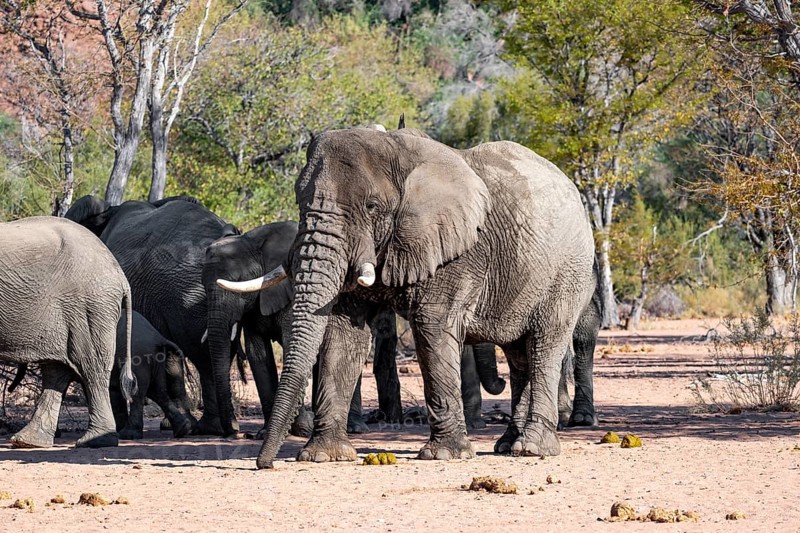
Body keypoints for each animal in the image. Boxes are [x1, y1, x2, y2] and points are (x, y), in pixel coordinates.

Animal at [0, 216, 135, 448]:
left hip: (89, 306)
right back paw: (28, 441)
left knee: (91, 367)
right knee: (57, 370)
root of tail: (120, 273)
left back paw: (96, 441)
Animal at [110, 310, 195, 440]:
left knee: (138, 393)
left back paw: (128, 435)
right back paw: (183, 428)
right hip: (155, 359)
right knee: (158, 391)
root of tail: (159, 339)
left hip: (138, 358)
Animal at [221, 126, 596, 468]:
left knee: (544, 346)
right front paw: (324, 456)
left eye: (372, 206)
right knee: (519, 354)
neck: (396, 148)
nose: (263, 464)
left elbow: (433, 327)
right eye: (301, 202)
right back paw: (506, 445)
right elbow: (343, 334)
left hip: (569, 272)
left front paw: (445, 455)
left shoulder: (455, 250)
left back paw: (532, 448)